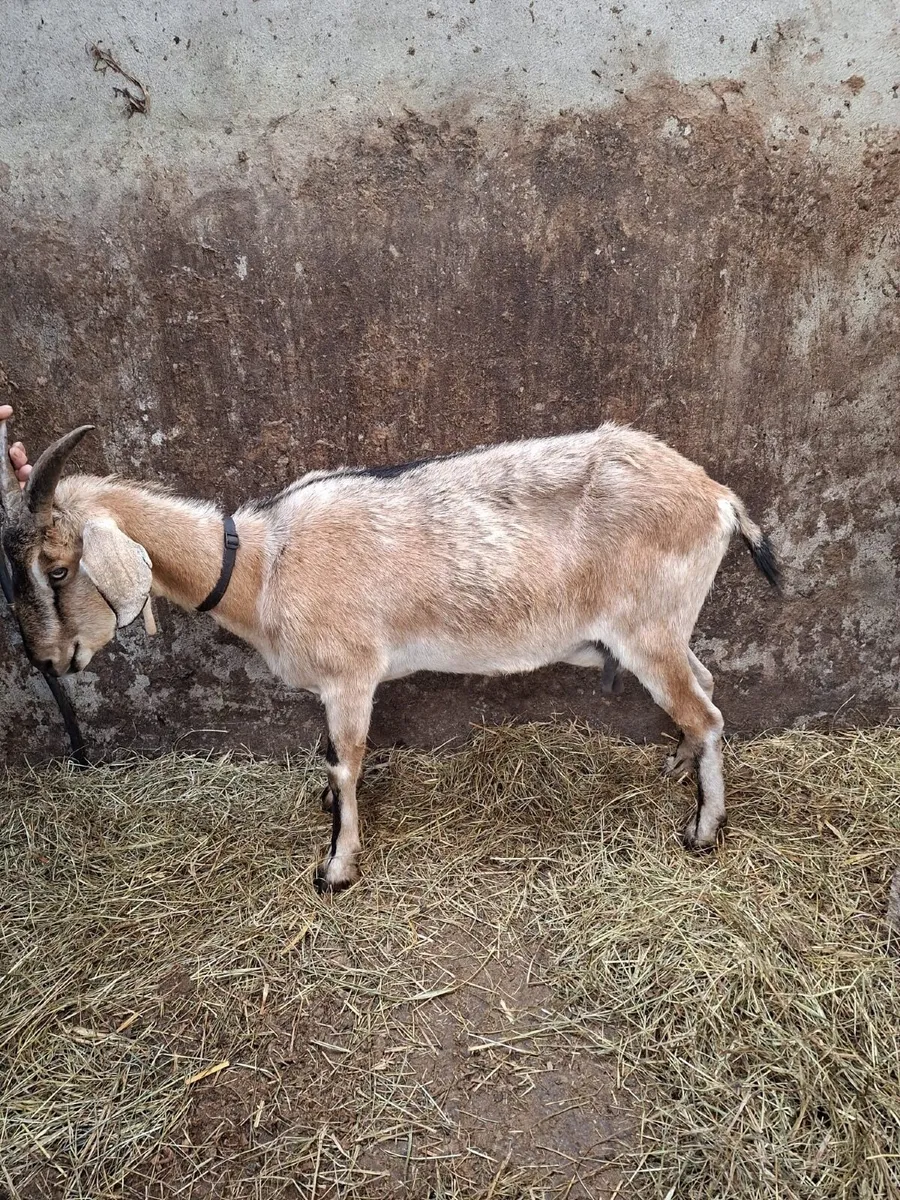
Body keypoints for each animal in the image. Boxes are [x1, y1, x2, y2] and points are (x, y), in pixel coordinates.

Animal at [0, 415, 779, 892]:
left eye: (58, 570)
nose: (47, 661)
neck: (262, 563)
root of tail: (719, 498)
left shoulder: (350, 675)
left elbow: (345, 761)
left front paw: (336, 865)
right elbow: (330, 760)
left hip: (648, 630)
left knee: (707, 713)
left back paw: (703, 829)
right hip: (667, 628)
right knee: (705, 688)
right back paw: (678, 765)